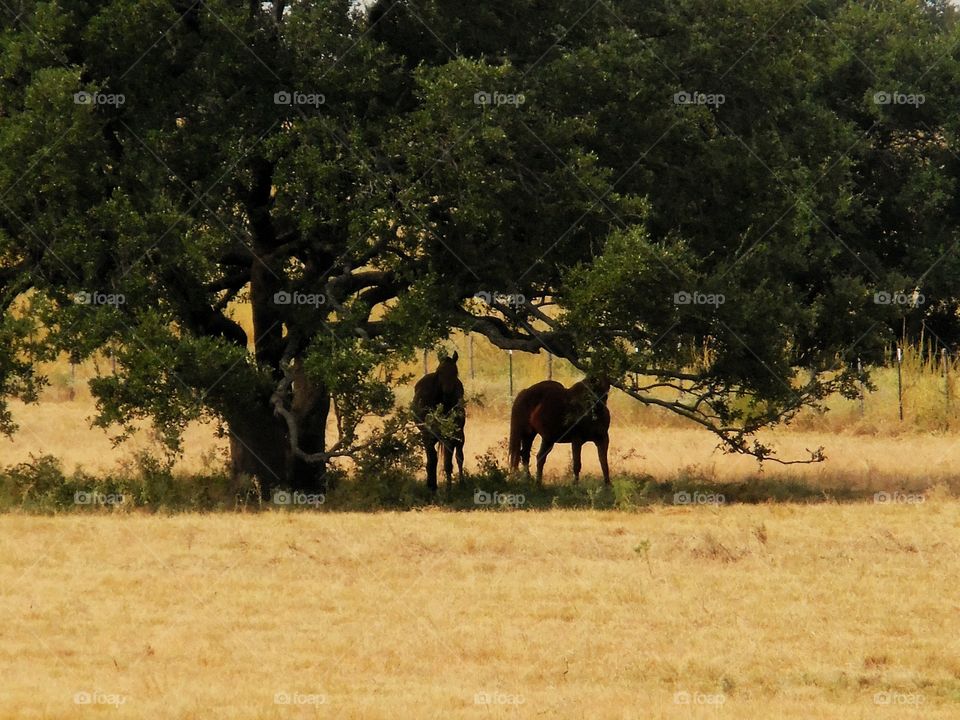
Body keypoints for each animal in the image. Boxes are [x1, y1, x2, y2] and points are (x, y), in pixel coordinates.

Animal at [411, 352, 465, 491]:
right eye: (439, 372)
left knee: (458, 457)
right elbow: (433, 461)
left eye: (455, 372)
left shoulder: (452, 436)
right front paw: (433, 486)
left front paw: (450, 488)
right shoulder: (429, 436)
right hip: (429, 437)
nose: (447, 391)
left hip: (457, 437)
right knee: (433, 459)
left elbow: (450, 462)